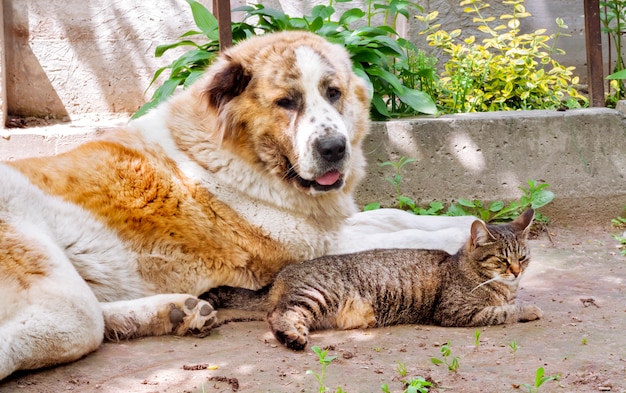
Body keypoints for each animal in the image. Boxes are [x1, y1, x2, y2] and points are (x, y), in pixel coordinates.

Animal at [0, 29, 472, 378]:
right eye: (287, 102)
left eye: (333, 93)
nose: (335, 149)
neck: (244, 157)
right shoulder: (310, 249)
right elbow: (405, 237)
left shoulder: (329, 225)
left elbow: (396, 218)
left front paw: (467, 223)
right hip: (54, 283)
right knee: (80, 326)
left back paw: (176, 312)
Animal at [266, 208, 540, 350]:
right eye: (502, 260)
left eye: (523, 257)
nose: (517, 271)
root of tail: (284, 273)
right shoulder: (455, 311)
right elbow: (503, 311)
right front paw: (529, 309)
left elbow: (505, 306)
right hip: (317, 295)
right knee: (279, 314)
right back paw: (293, 338)